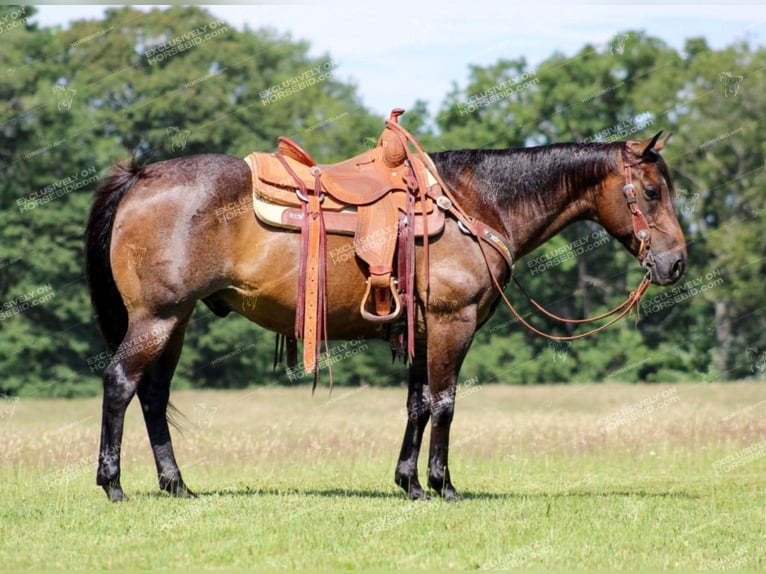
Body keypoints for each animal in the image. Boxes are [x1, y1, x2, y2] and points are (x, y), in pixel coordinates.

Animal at [85, 133, 688, 502]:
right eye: (651, 191)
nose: (676, 263)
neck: (477, 206)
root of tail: (141, 176)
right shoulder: (451, 322)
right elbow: (444, 402)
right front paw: (444, 485)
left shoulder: (421, 329)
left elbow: (417, 404)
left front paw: (410, 483)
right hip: (157, 318)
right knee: (120, 383)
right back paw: (113, 484)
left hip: (177, 320)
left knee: (153, 394)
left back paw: (176, 485)